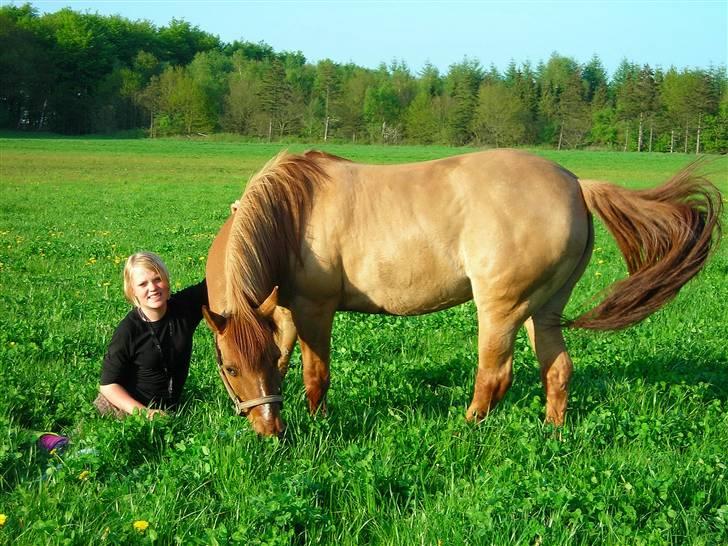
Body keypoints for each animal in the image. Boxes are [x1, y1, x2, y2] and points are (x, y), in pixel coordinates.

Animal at [200, 148, 724, 434]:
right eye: (231, 366)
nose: (269, 431)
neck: (295, 210)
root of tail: (576, 183)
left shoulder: (314, 309)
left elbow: (315, 375)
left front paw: (319, 423)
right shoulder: (283, 312)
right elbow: (291, 360)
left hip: (500, 309)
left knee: (494, 376)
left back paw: (466, 428)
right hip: (543, 310)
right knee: (557, 369)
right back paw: (552, 432)